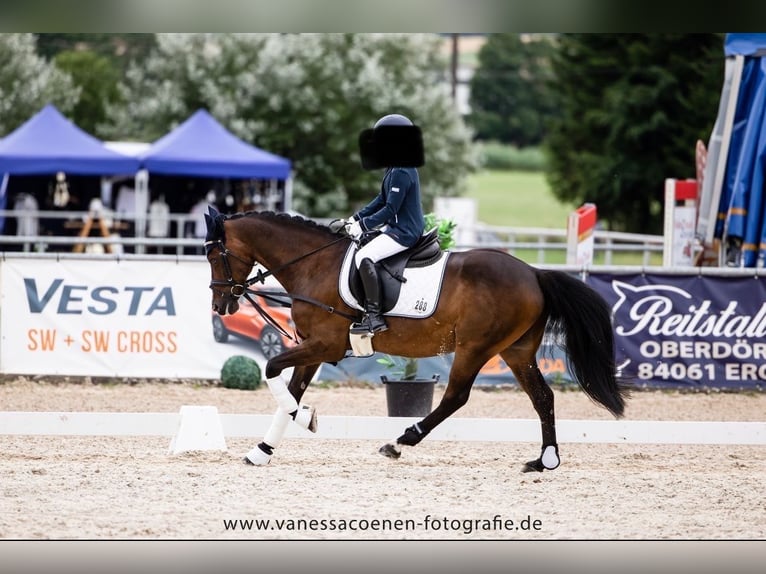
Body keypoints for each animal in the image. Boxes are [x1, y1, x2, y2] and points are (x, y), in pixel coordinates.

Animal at [204, 207, 632, 472]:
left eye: (213, 255)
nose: (221, 304)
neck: (314, 265)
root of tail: (534, 273)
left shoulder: (325, 345)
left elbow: (272, 371)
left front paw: (307, 418)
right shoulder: (311, 349)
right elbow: (287, 395)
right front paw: (262, 451)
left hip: (475, 347)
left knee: (456, 397)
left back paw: (399, 442)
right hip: (516, 351)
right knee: (543, 398)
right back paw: (545, 461)